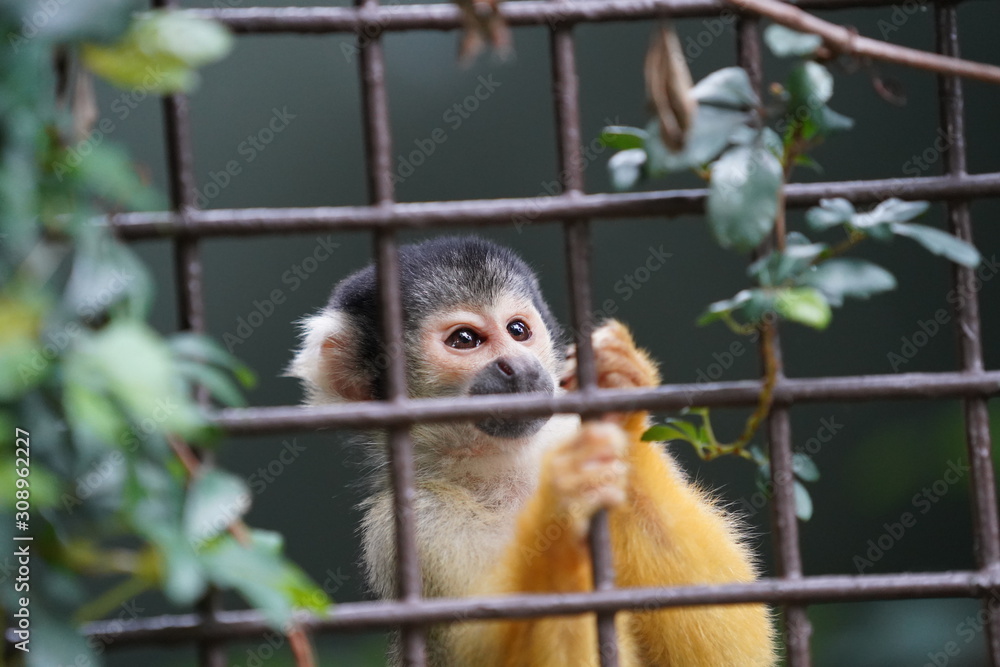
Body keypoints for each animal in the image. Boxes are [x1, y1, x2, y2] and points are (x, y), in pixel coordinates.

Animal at [289, 235, 777, 666]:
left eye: (517, 330)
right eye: (464, 339)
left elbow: (734, 651)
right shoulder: (413, 523)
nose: (517, 364)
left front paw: (619, 406)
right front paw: (561, 519)